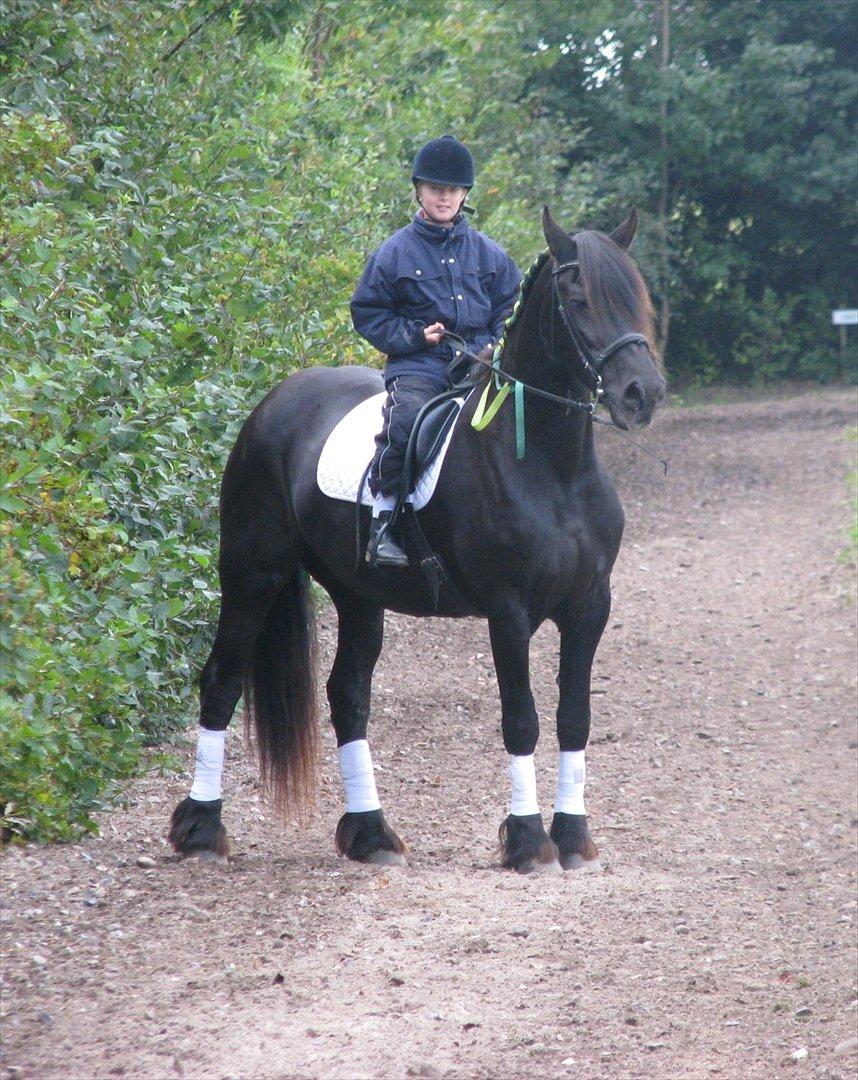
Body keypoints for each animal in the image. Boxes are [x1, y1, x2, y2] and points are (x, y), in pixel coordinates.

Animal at [165, 206, 661, 872]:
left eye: (636, 296)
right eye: (578, 298)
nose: (642, 394)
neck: (552, 467)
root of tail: (272, 405)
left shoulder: (589, 608)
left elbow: (574, 718)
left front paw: (574, 837)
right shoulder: (508, 612)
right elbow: (522, 720)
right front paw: (528, 842)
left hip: (356, 594)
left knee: (348, 694)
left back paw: (371, 834)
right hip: (252, 575)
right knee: (221, 680)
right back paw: (200, 829)